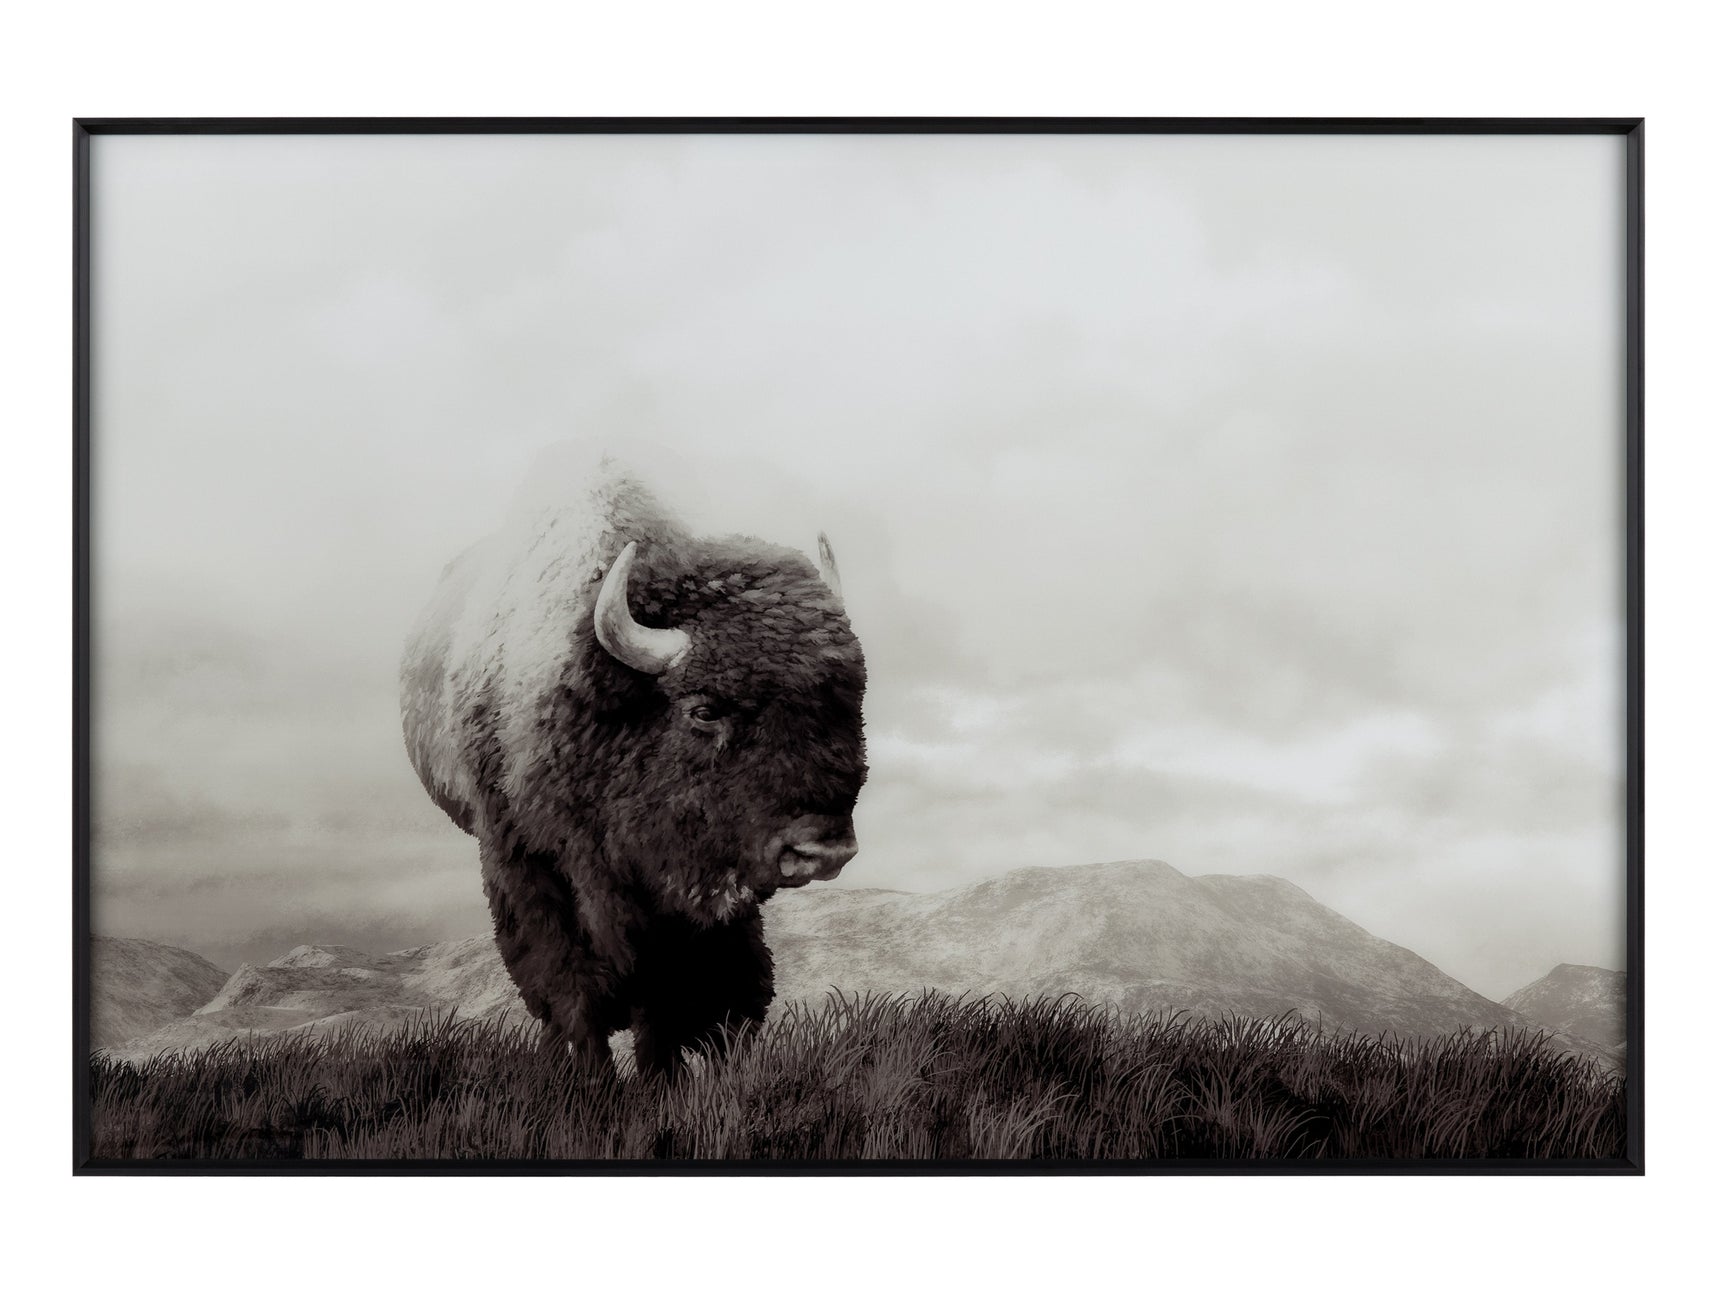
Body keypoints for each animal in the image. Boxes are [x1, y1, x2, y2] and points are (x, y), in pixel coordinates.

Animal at [400, 460, 867, 1078]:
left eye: (850, 701)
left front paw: (662, 1078)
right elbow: (572, 988)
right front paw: (594, 1080)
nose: (824, 848)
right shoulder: (526, 860)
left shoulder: (683, 904)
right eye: (704, 710)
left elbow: (672, 996)